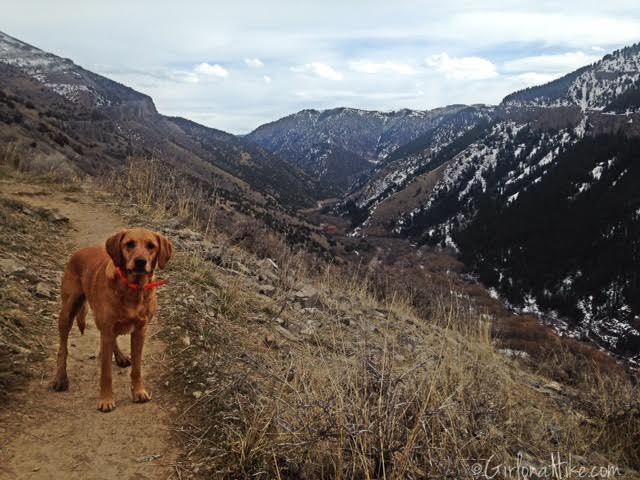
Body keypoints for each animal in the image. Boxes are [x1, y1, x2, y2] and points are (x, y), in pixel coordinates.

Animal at [52, 229, 172, 412]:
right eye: (129, 244)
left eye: (151, 246)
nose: (140, 261)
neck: (132, 290)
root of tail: (81, 251)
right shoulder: (107, 330)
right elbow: (106, 373)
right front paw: (106, 400)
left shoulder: (140, 331)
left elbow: (137, 369)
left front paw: (138, 391)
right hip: (68, 311)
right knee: (63, 348)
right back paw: (60, 378)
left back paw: (120, 357)